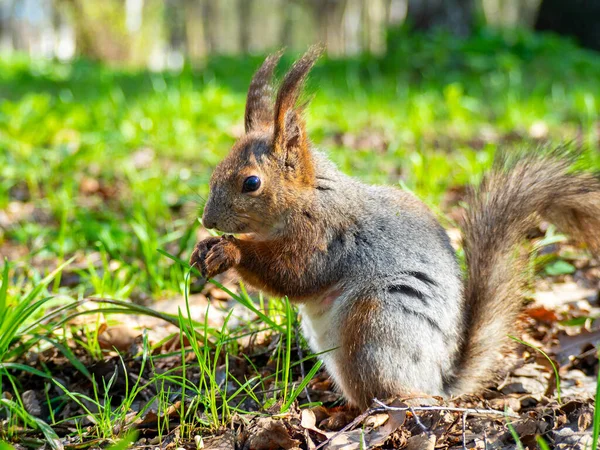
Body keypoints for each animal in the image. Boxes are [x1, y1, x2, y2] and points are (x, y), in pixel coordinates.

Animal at [190, 47, 600, 410]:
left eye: (251, 183)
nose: (207, 220)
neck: (310, 198)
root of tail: (439, 380)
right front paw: (203, 247)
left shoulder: (324, 238)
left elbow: (293, 274)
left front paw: (230, 250)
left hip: (378, 322)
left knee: (385, 392)